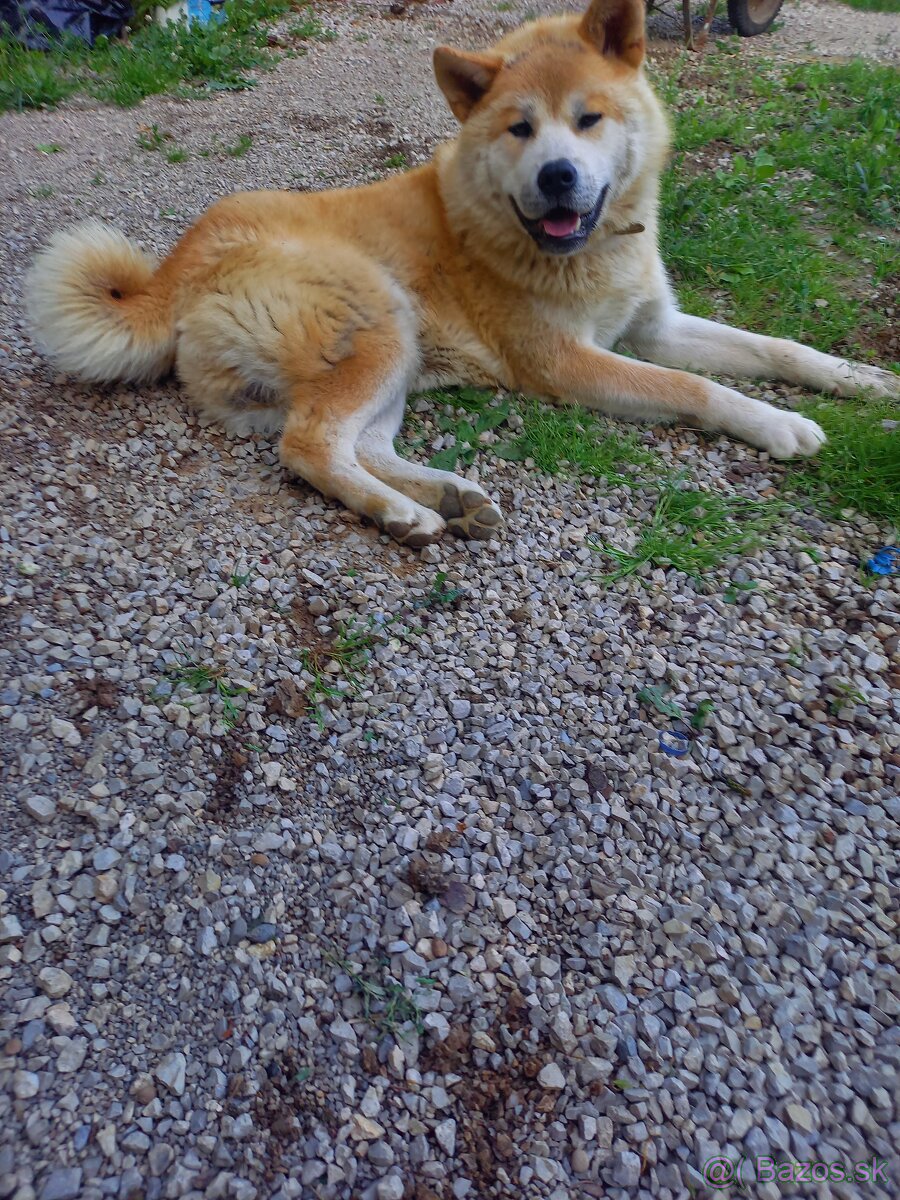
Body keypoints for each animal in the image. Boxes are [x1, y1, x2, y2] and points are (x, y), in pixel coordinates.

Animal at [26, 0, 900, 549]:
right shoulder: (567, 362)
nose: (556, 176)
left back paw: (444, 497)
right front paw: (779, 425)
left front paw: (863, 379)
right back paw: (403, 516)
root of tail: (175, 264)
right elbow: (697, 389)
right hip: (380, 320)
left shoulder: (654, 326)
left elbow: (778, 348)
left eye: (589, 119)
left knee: (349, 440)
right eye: (519, 128)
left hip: (392, 353)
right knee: (308, 446)